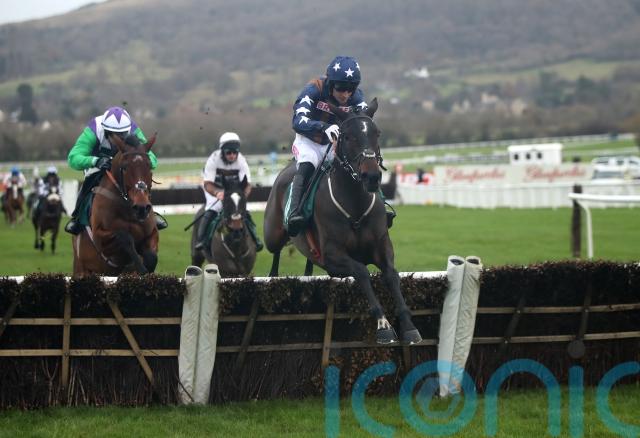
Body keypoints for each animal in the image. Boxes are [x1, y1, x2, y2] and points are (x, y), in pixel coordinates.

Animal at [72, 134, 159, 277]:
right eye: (124, 167)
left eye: (149, 166)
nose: (141, 208)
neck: (127, 209)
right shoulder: (99, 237)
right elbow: (124, 236)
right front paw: (141, 268)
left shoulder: (151, 233)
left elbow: (151, 257)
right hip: (81, 268)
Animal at [263, 98, 422, 345]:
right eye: (347, 136)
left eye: (377, 133)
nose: (371, 177)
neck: (354, 206)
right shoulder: (333, 256)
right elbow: (361, 272)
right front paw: (383, 325)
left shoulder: (382, 246)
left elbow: (391, 274)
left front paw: (408, 326)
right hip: (273, 234)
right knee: (276, 251)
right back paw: (272, 274)